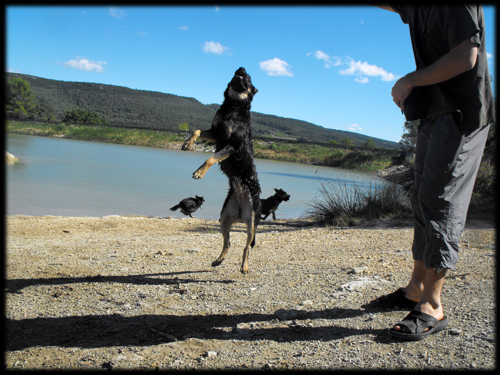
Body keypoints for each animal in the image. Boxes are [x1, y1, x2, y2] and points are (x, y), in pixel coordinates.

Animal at [181, 67, 260, 274]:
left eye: (249, 78)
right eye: (242, 73)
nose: (241, 68)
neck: (233, 108)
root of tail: (240, 212)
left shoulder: (232, 145)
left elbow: (210, 157)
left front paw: (199, 172)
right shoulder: (215, 133)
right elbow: (197, 130)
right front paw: (188, 143)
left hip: (251, 223)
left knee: (246, 247)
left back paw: (244, 267)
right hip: (224, 219)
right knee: (228, 243)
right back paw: (219, 260)